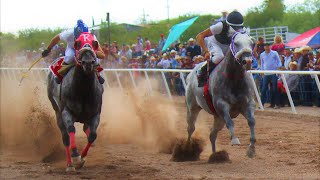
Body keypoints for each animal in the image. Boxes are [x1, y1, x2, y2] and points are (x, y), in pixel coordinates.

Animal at [185, 31, 255, 160]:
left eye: (252, 43)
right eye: (236, 43)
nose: (247, 61)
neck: (234, 79)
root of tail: (190, 74)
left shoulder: (247, 103)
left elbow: (252, 121)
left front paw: (251, 149)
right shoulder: (221, 104)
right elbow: (230, 122)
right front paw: (235, 140)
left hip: (217, 117)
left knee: (212, 134)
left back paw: (215, 155)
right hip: (192, 107)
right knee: (191, 128)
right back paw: (186, 150)